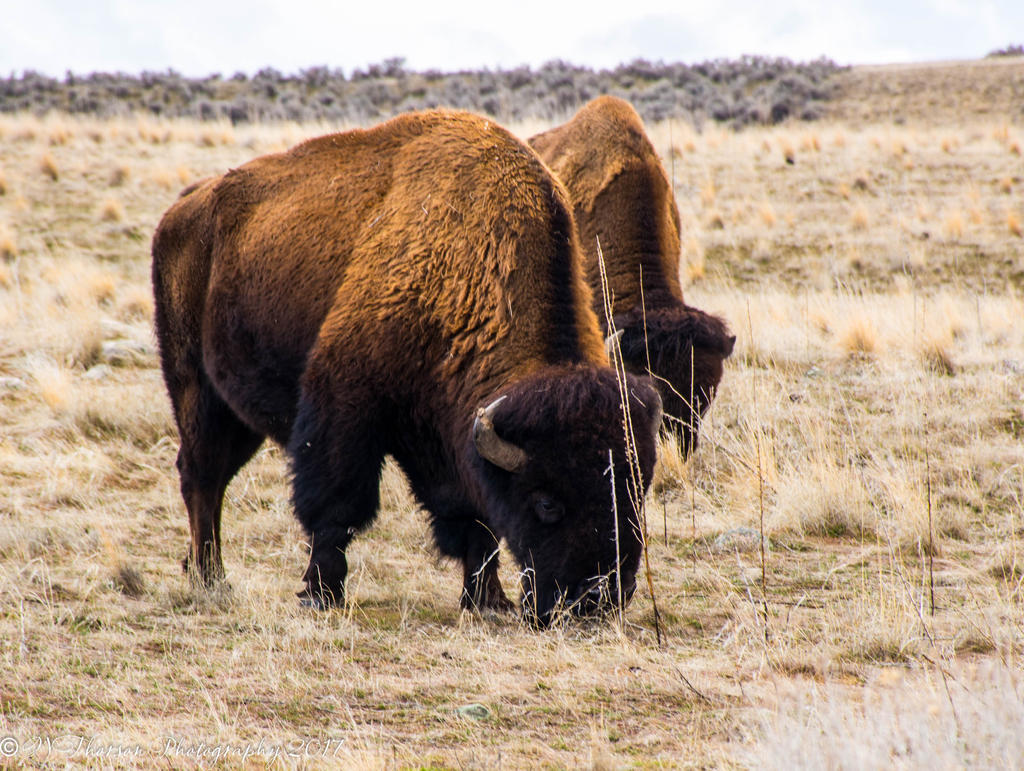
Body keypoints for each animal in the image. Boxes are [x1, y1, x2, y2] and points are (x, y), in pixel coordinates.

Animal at [151, 109, 663, 626]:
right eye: (546, 502)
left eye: (637, 491)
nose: (598, 599)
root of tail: (181, 212)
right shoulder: (344, 404)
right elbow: (337, 506)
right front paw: (321, 593)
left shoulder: (452, 440)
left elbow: (476, 520)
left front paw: (486, 599)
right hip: (193, 387)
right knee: (202, 475)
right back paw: (211, 578)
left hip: (238, 415)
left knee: (215, 477)